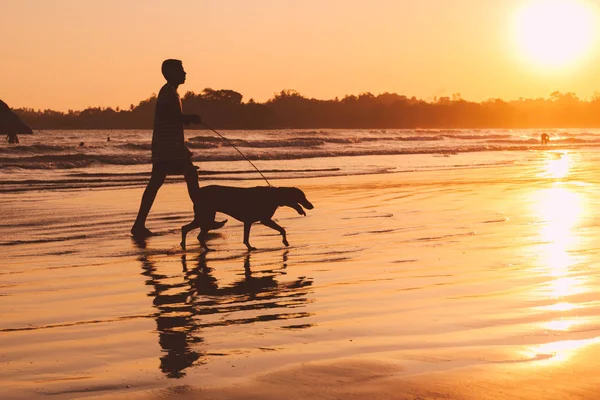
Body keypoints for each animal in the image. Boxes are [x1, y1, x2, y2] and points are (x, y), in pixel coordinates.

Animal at [180, 185, 314, 250]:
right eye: (302, 196)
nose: (311, 206)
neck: (275, 196)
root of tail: (196, 194)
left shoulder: (248, 222)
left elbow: (246, 238)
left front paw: (249, 247)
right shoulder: (264, 220)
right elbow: (282, 229)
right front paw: (285, 241)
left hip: (204, 217)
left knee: (186, 228)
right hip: (206, 217)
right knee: (195, 233)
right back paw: (206, 249)